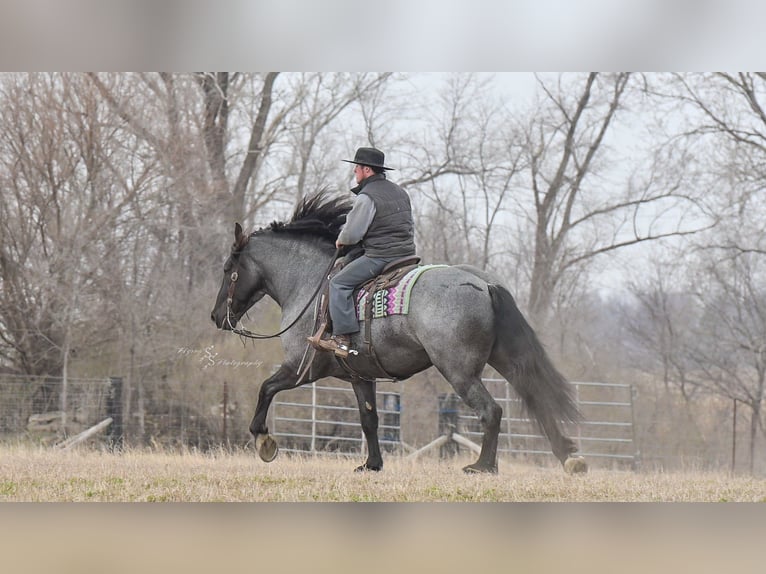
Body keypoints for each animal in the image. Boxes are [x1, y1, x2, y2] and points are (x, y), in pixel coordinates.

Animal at [210, 191, 587, 474]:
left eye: (229, 269)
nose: (216, 317)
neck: (312, 283)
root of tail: (483, 284)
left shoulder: (301, 368)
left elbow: (266, 388)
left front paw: (264, 440)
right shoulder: (361, 376)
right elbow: (370, 419)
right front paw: (372, 464)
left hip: (459, 372)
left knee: (491, 411)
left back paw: (483, 466)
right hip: (505, 359)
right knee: (535, 398)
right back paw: (568, 456)